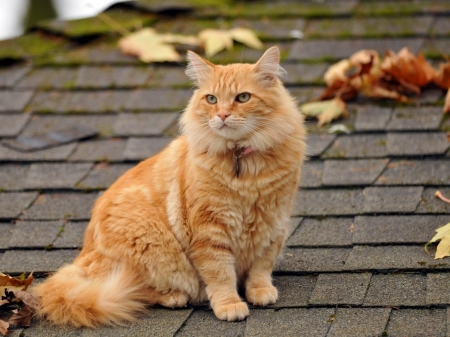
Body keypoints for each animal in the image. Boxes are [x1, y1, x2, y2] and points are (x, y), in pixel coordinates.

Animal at [32, 45, 306, 326]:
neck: (243, 164)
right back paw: (174, 297)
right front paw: (229, 305)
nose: (222, 115)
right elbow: (221, 275)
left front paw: (260, 291)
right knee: (130, 290)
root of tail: (81, 259)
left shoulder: (273, 222)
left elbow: (261, 266)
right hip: (149, 246)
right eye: (211, 99)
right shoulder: (209, 230)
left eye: (242, 97)